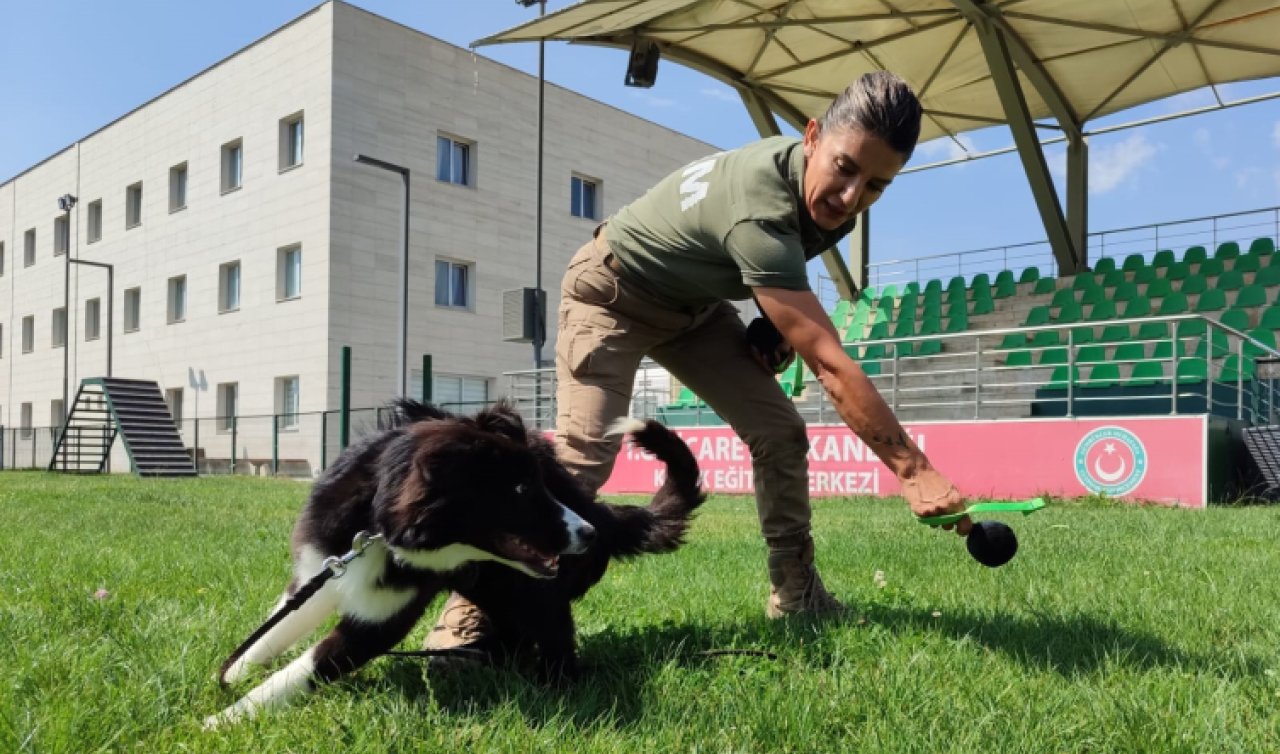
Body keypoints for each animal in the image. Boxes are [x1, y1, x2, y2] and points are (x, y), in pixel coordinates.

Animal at [203, 399, 701, 721]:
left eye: (535, 485)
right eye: (520, 490)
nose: (587, 535)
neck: (377, 528)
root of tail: (599, 510)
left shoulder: (378, 622)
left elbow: (305, 668)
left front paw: (222, 719)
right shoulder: (323, 566)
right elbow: (277, 626)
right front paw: (231, 676)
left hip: (522, 589)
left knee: (553, 633)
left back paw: (555, 688)